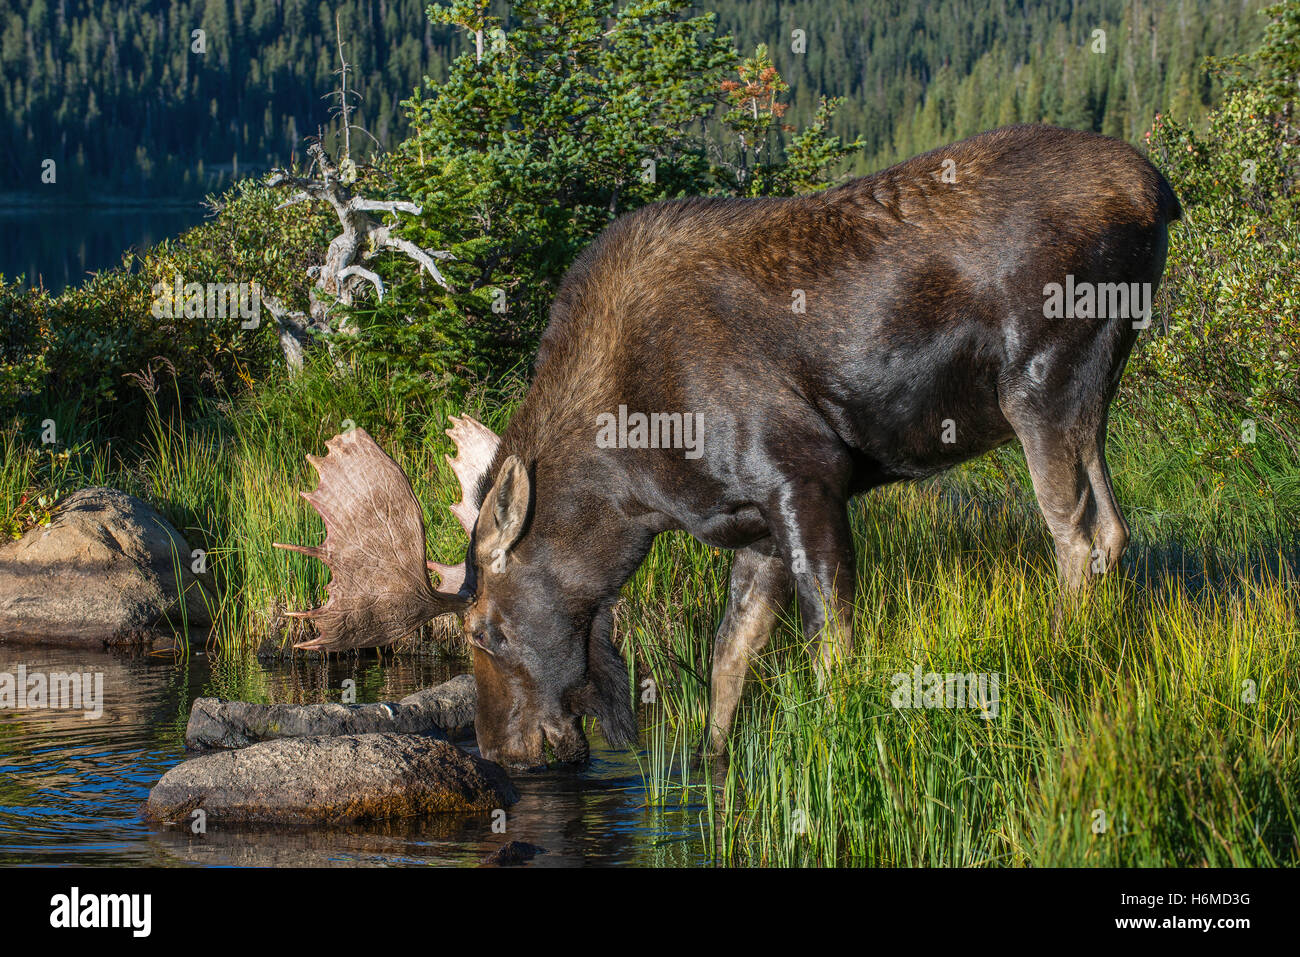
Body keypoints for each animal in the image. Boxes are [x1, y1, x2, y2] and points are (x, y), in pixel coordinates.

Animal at [279, 125, 1185, 769]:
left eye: (485, 632)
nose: (502, 749)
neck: (636, 483)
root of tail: (1160, 192)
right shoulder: (749, 521)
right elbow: (728, 660)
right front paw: (711, 762)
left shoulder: (804, 474)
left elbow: (831, 640)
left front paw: (834, 735)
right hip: (1097, 385)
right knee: (1114, 525)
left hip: (1042, 377)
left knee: (1074, 531)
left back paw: (1063, 654)